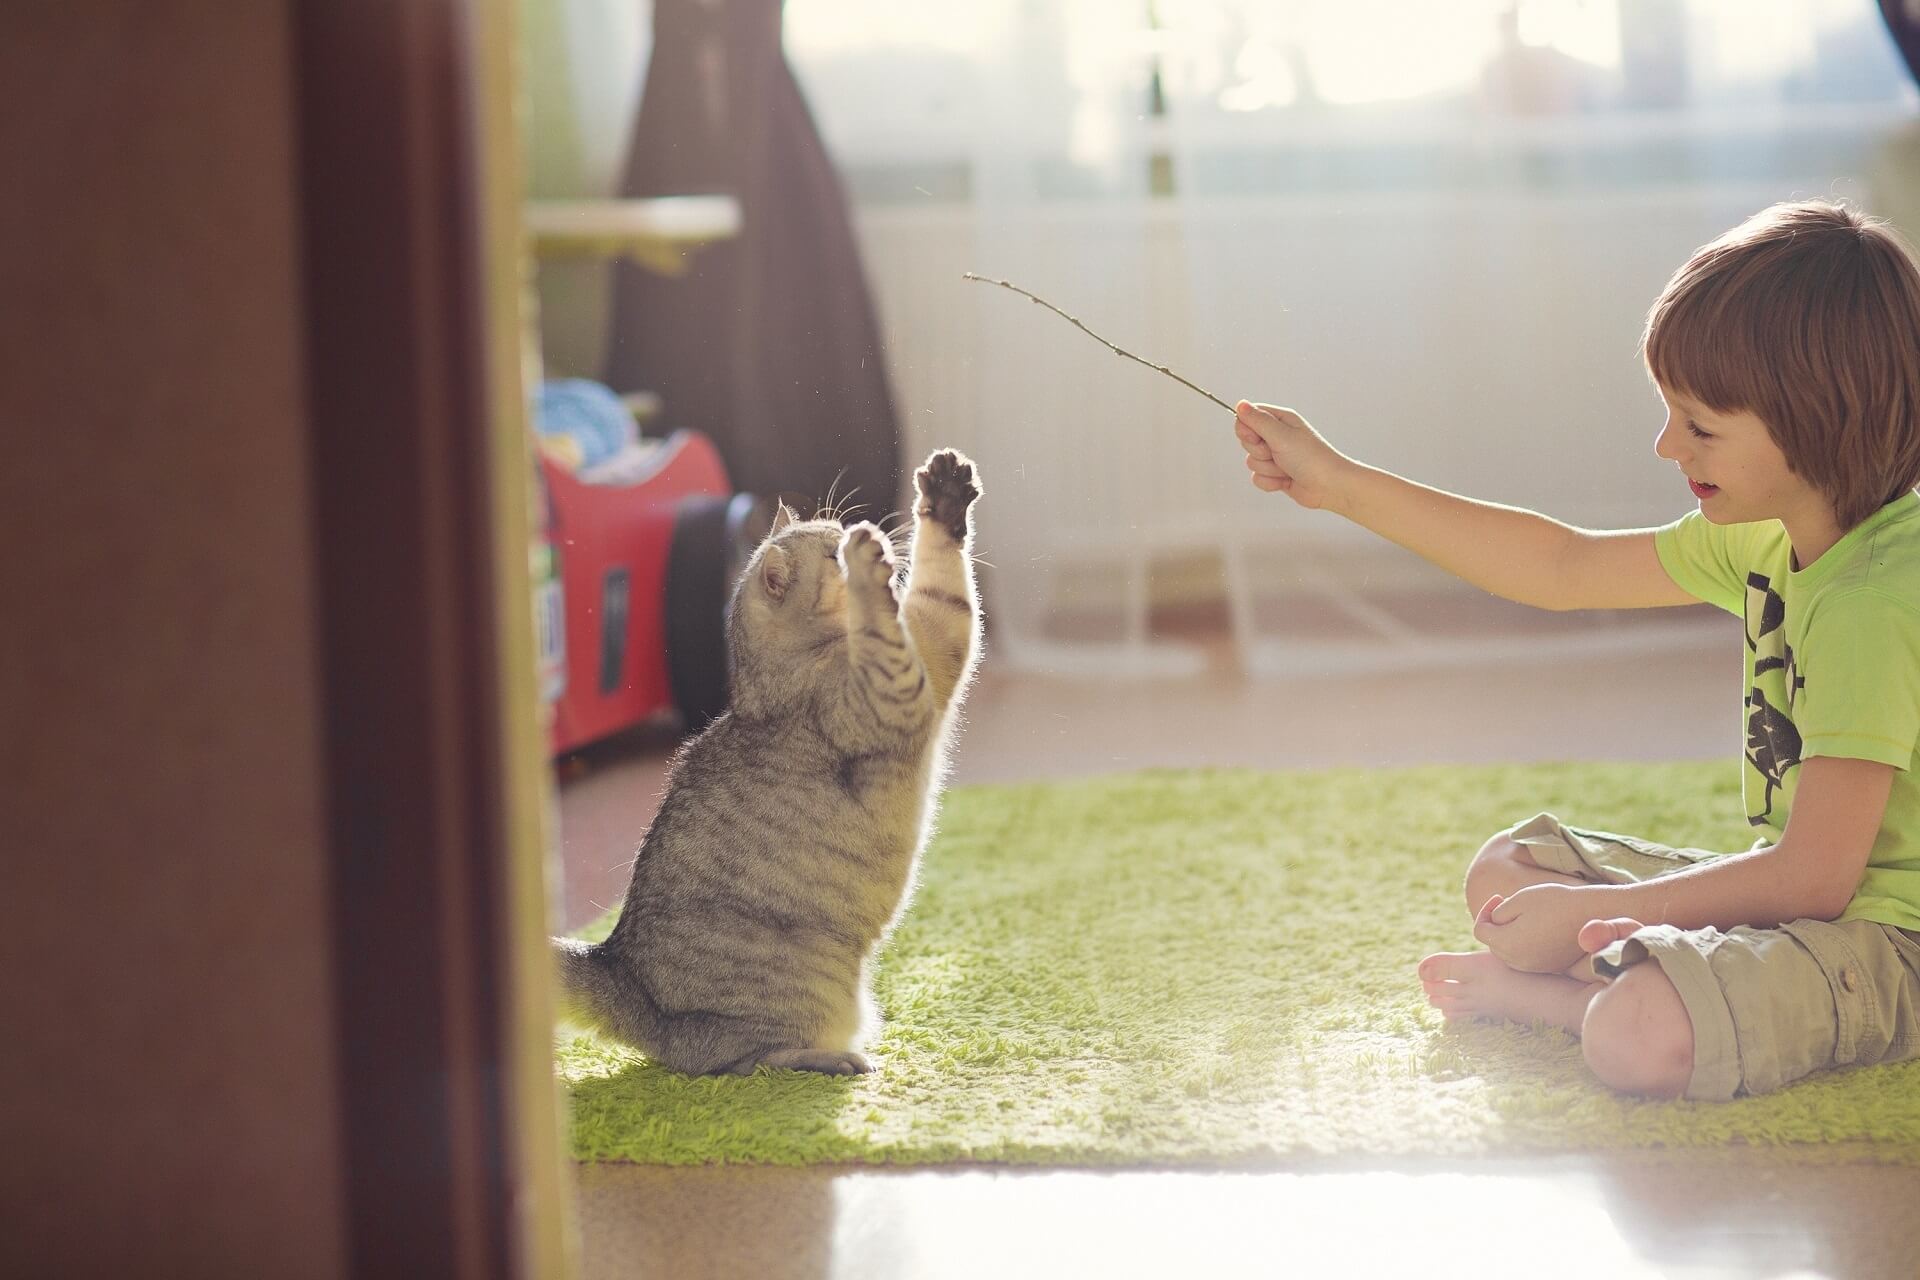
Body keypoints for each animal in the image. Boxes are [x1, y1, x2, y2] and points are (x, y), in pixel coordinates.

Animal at [549, 445, 983, 1074]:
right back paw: (837, 1060)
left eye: (835, 527)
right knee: (748, 1062)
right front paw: (867, 570)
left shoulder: (935, 640)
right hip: (811, 993)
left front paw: (945, 494)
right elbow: (883, 620)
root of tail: (619, 968)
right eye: (833, 549)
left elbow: (943, 582)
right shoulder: (893, 687)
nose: (862, 531)